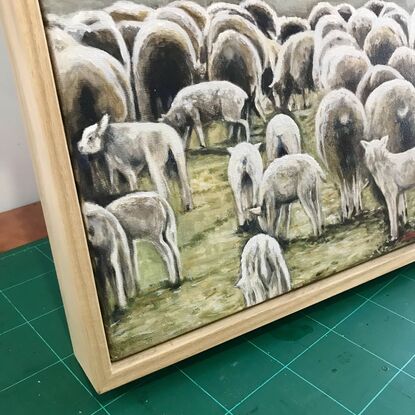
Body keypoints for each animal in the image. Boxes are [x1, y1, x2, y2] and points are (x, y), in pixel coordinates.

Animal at [316, 88, 368, 221]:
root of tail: (342, 110)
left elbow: (343, 185)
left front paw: (348, 210)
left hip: (333, 154)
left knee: (343, 182)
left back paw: (348, 211)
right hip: (358, 147)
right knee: (356, 177)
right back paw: (357, 208)